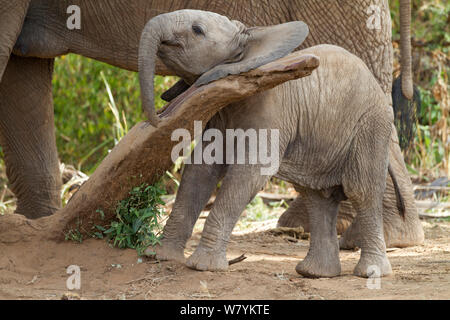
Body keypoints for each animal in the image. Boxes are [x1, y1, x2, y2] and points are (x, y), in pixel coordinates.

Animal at [139, 8, 396, 276]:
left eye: (197, 30)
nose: (157, 118)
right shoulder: (220, 116)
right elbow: (199, 171)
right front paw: (160, 256)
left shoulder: (270, 111)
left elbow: (250, 172)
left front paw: (203, 267)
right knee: (317, 197)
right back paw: (314, 273)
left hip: (371, 124)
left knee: (361, 191)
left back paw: (370, 272)